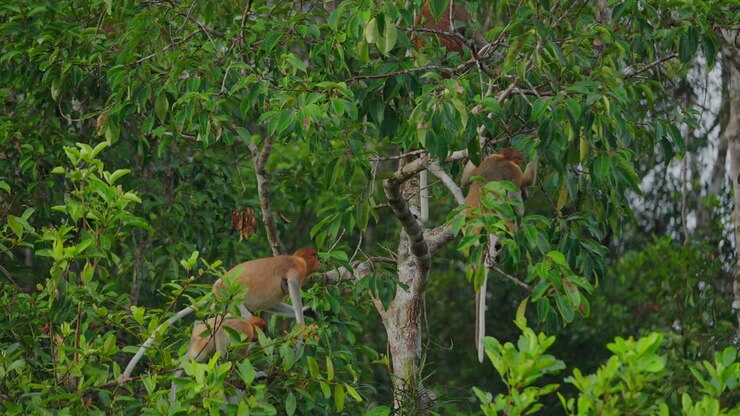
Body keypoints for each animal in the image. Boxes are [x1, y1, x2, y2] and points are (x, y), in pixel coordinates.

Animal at [119, 248, 320, 382]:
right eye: (315, 256)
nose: (320, 262)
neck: (298, 260)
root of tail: (216, 290)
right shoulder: (296, 270)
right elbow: (292, 285)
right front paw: (301, 332)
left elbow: (276, 303)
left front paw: (307, 311)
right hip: (232, 301)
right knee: (244, 323)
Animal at [462, 148, 537, 362]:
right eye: (518, 159)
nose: (527, 196)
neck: (501, 158)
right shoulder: (512, 170)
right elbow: (518, 192)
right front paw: (537, 149)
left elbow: (465, 177)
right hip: (496, 219)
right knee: (509, 216)